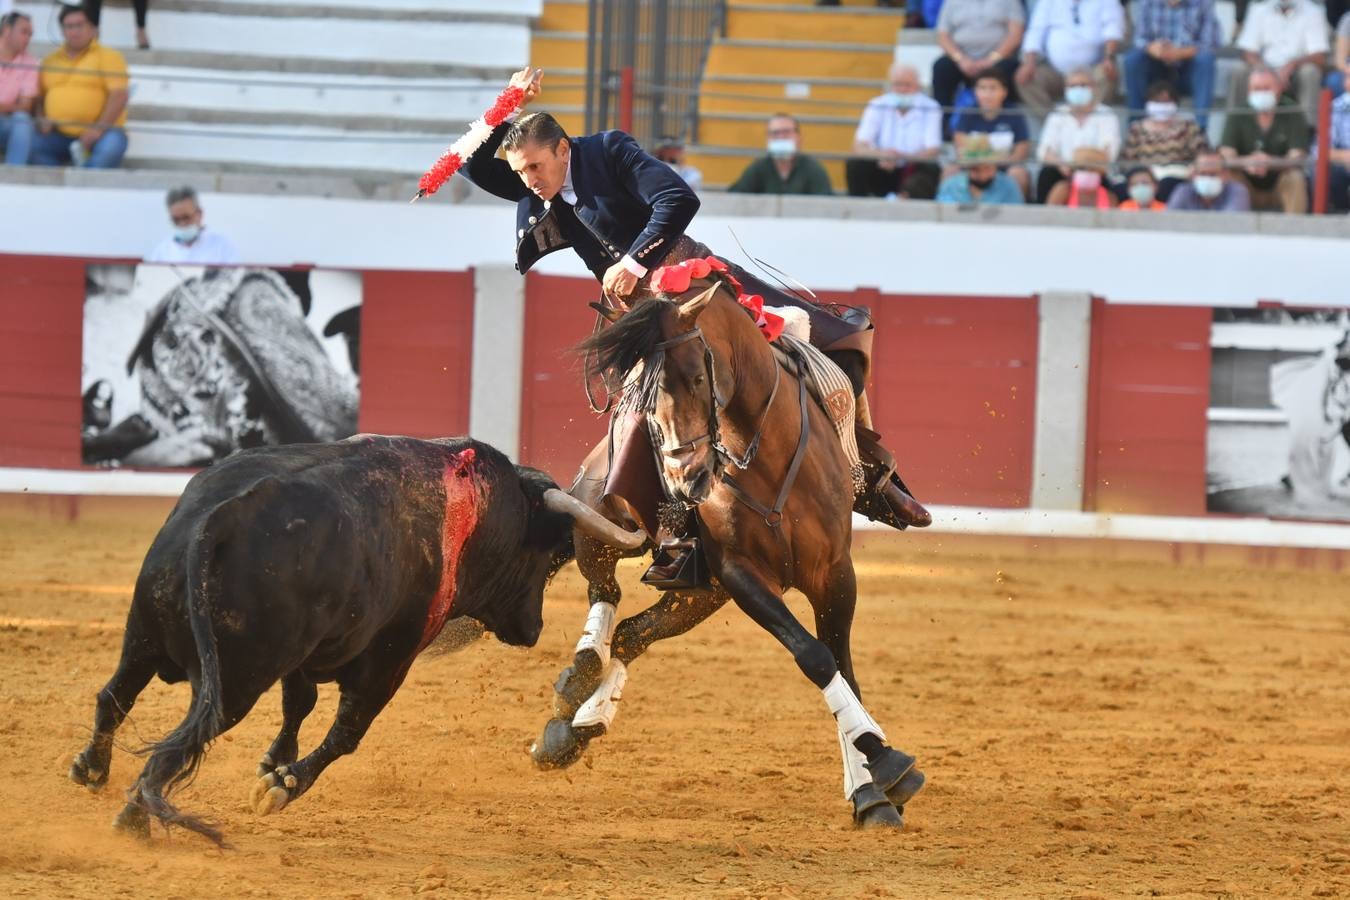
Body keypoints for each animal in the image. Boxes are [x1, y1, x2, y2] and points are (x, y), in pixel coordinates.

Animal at [65, 437, 645, 847]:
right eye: (550, 557)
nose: (533, 629)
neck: (477, 512)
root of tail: (221, 517)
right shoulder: (390, 660)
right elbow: (346, 732)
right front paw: (281, 785)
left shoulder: (310, 652)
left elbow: (299, 704)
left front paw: (273, 764)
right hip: (236, 680)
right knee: (178, 745)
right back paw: (133, 820)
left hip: (142, 635)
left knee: (114, 696)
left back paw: (90, 771)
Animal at [531, 276, 923, 831]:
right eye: (639, 392)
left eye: (698, 376)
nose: (685, 481)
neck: (769, 456)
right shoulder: (741, 574)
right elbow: (815, 656)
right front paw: (883, 765)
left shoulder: (834, 575)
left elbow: (842, 665)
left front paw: (872, 787)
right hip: (601, 524)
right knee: (604, 591)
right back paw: (579, 679)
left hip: (700, 594)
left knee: (632, 634)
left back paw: (579, 722)